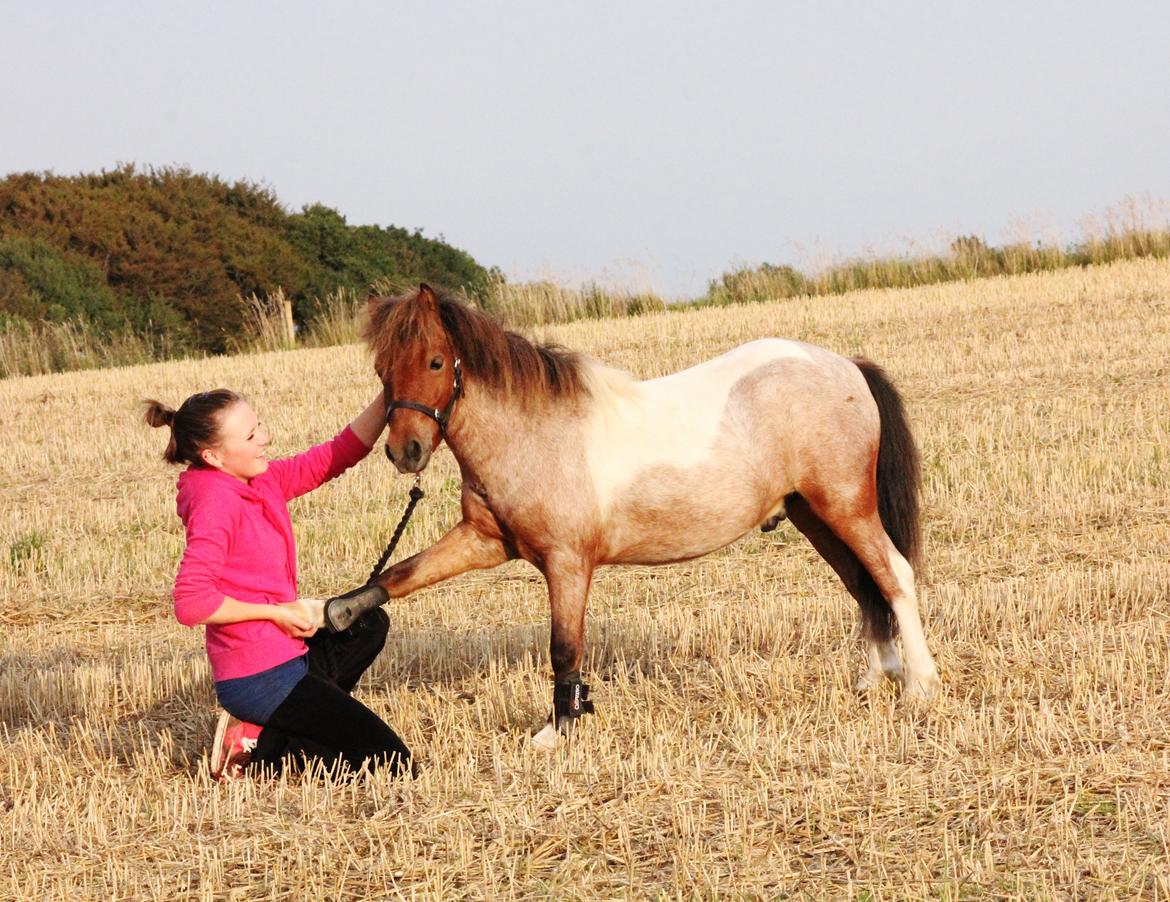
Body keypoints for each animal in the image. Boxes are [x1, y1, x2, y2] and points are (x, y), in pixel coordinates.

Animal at [322, 284, 940, 748]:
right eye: (381, 370)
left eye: (434, 361)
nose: (405, 452)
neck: (533, 432)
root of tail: (847, 367)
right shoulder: (483, 541)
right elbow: (401, 573)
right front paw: (337, 611)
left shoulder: (567, 564)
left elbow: (563, 646)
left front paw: (557, 730)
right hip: (815, 515)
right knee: (863, 584)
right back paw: (876, 677)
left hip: (846, 506)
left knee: (894, 575)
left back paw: (920, 686)